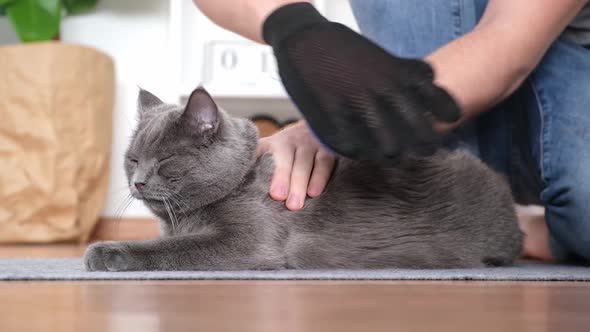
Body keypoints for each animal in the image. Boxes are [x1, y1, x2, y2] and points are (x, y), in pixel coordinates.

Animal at [84, 87, 524, 272]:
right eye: (133, 159)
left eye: (167, 161)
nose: (138, 182)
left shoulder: (248, 241)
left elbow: (170, 250)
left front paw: (104, 252)